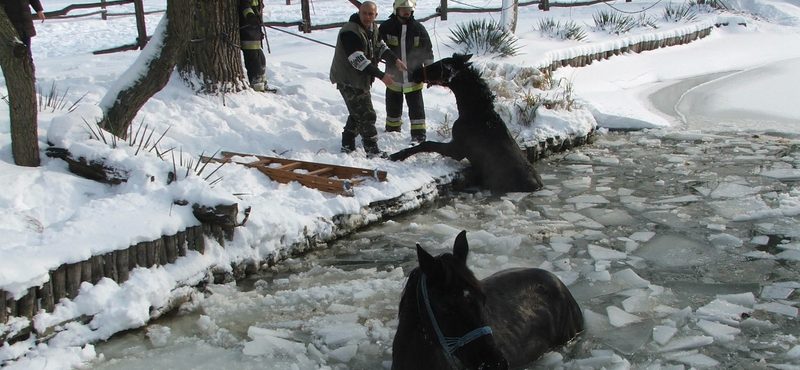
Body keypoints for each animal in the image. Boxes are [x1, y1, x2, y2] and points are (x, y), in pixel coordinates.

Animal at [388, 55, 544, 194]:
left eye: (439, 66)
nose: (414, 73)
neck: (473, 113)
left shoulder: (457, 149)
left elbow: (427, 144)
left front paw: (396, 155)